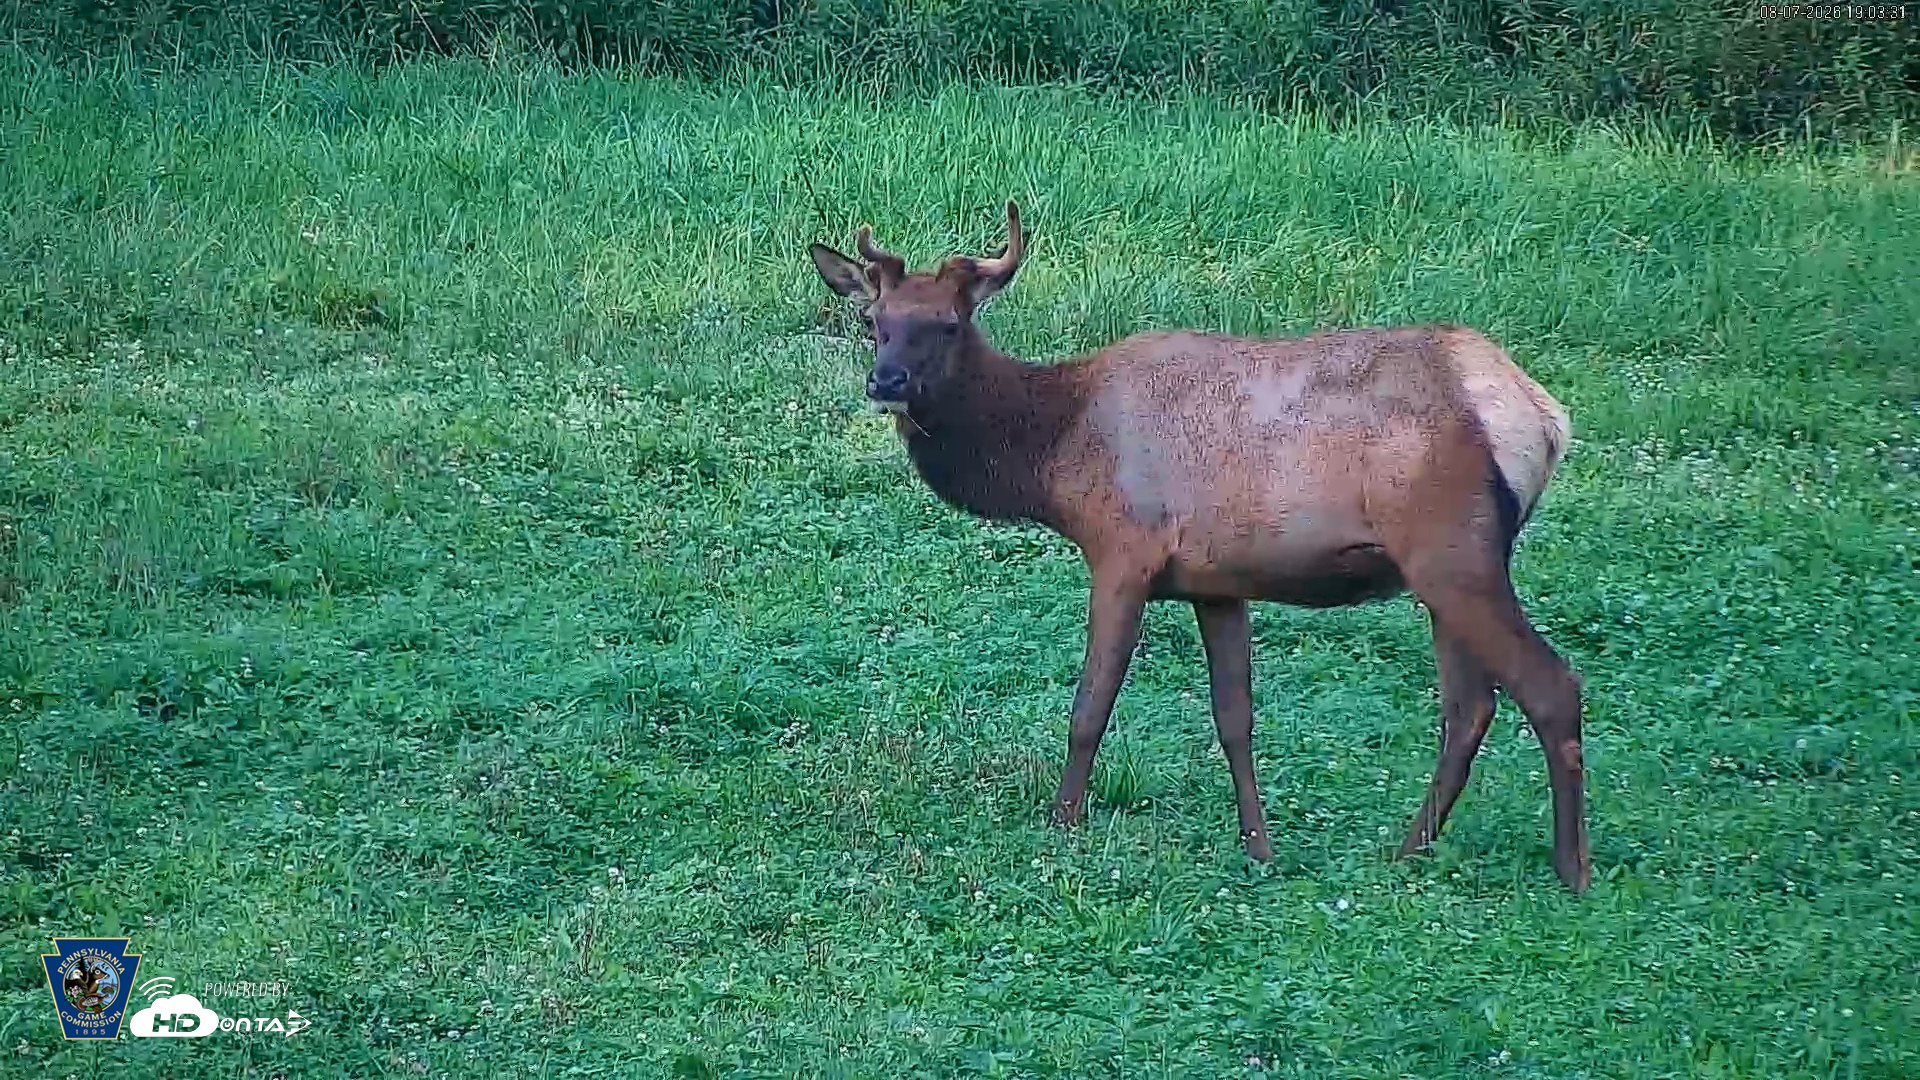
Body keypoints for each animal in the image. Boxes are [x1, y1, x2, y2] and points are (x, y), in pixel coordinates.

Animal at [807, 200, 1590, 892]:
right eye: (874, 321)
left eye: (946, 323)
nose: (885, 381)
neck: (1056, 456)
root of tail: (1543, 418)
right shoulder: (1216, 582)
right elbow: (1234, 718)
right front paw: (1259, 847)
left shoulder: (1123, 552)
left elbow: (1090, 707)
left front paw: (1063, 826)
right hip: (1448, 569)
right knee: (1470, 706)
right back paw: (1408, 850)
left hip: (1453, 550)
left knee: (1550, 686)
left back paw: (1571, 870)